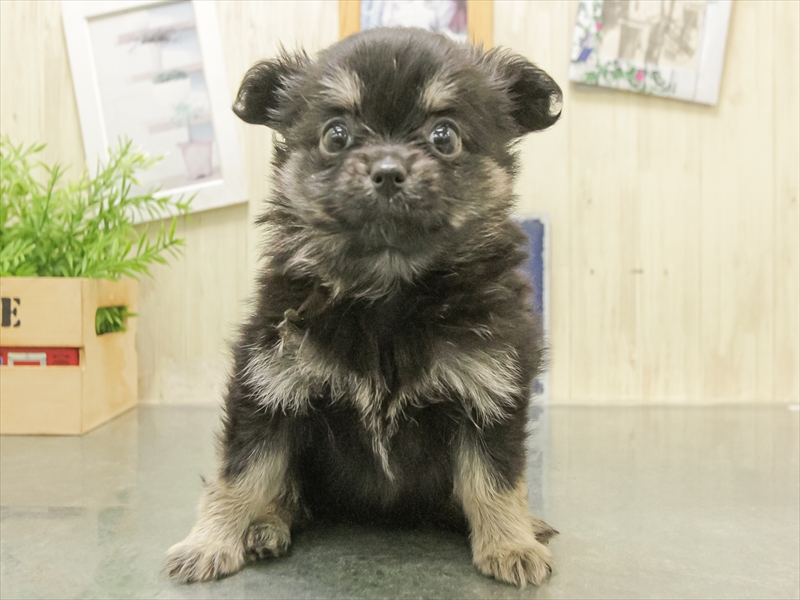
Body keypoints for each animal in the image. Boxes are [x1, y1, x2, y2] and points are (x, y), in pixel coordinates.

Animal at [166, 27, 562, 587]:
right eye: (336, 136)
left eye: (444, 137)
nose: (389, 171)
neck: (388, 291)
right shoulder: (266, 387)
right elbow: (239, 474)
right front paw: (210, 540)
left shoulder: (491, 389)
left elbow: (497, 477)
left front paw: (510, 543)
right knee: (284, 489)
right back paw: (266, 524)